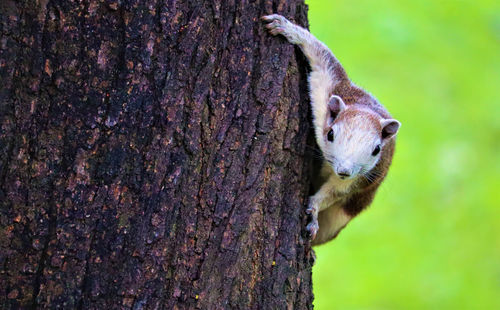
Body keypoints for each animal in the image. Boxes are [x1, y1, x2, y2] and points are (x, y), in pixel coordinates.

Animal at [262, 14, 402, 246]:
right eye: (330, 134)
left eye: (376, 150)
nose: (344, 171)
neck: (365, 107)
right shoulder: (332, 89)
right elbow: (323, 60)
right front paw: (289, 29)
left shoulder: (358, 180)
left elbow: (333, 193)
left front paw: (313, 209)